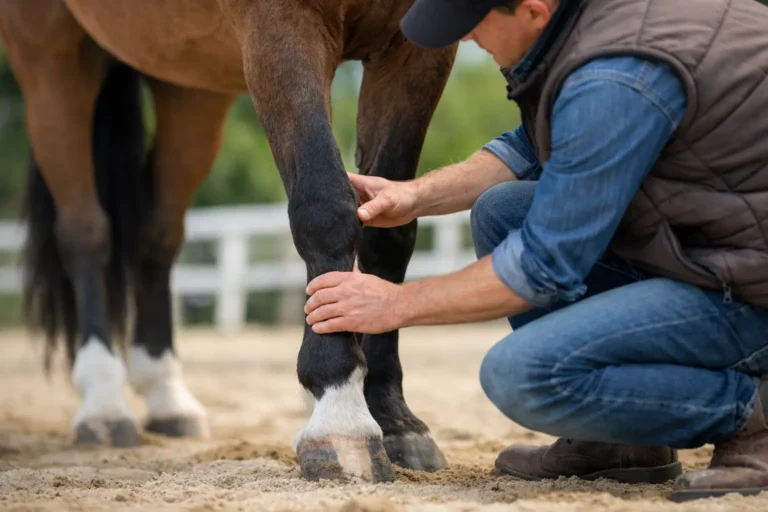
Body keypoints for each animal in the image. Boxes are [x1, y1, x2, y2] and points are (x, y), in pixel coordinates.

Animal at [0, 0, 457, 482]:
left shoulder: (417, 50)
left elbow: (390, 233)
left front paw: (395, 420)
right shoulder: (281, 27)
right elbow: (325, 208)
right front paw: (341, 416)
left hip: (187, 85)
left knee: (157, 236)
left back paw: (168, 398)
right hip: (51, 58)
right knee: (85, 234)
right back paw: (103, 404)